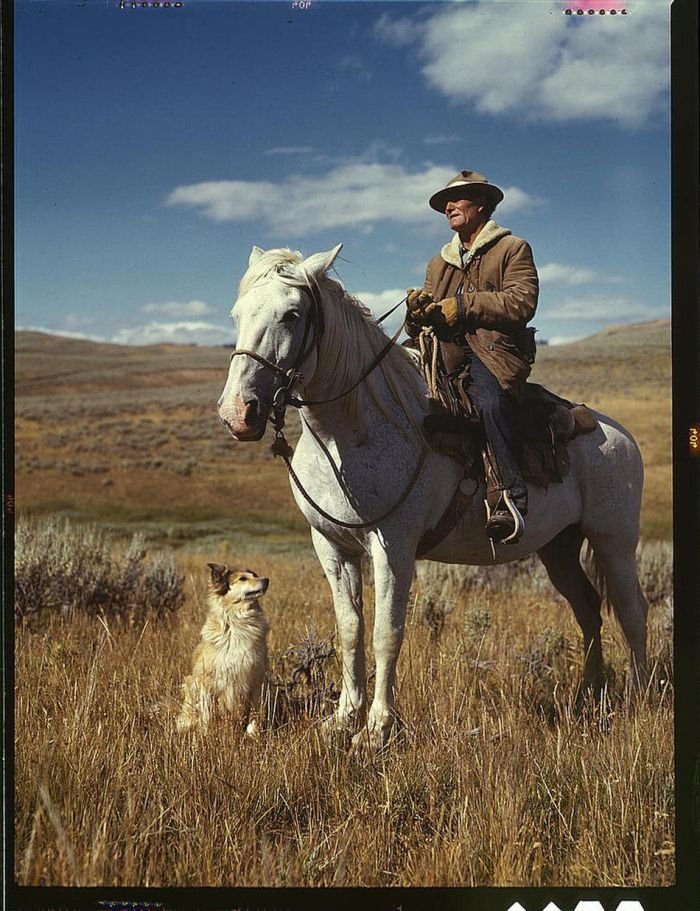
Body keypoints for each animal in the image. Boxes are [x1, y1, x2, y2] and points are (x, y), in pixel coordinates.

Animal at [176, 564, 270, 732]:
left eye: (255, 575)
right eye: (242, 578)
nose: (266, 580)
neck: (238, 623)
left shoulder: (256, 678)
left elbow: (254, 713)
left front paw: (253, 734)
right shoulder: (207, 681)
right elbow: (207, 715)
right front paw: (206, 735)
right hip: (190, 684)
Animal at [216, 244, 648, 756]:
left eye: (292, 314)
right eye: (236, 314)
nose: (238, 413)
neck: (356, 428)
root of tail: (618, 434)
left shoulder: (394, 545)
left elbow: (386, 632)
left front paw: (377, 729)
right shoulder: (331, 545)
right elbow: (350, 629)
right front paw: (341, 719)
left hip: (614, 540)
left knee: (632, 612)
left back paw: (639, 698)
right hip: (558, 547)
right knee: (588, 609)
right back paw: (589, 697)